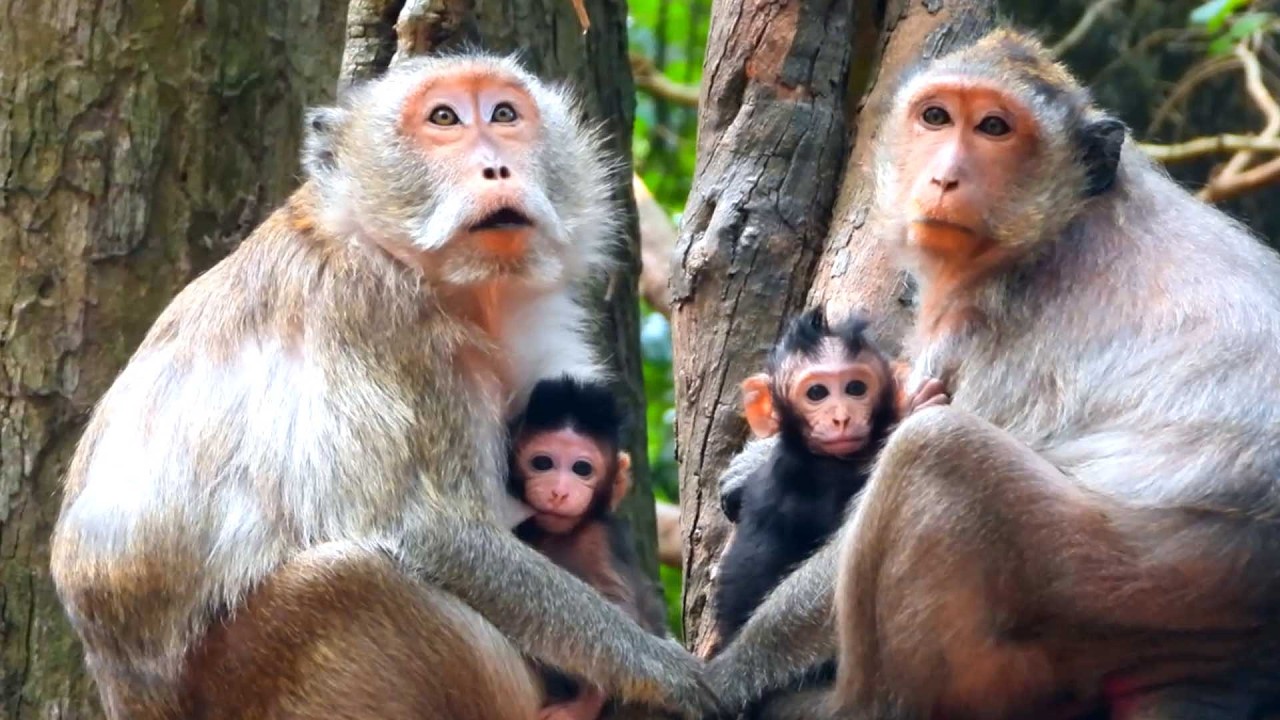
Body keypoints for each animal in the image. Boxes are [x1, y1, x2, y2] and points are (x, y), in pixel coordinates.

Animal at [507, 375, 671, 720]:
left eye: (582, 469)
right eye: (542, 463)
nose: (559, 491)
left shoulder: (598, 540)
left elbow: (620, 609)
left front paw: (583, 705)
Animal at [704, 27, 1280, 720]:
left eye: (995, 127)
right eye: (936, 117)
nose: (944, 177)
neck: (1057, 224)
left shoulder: (996, 332)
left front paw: (732, 672)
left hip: (1124, 589)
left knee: (938, 451)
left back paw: (859, 706)